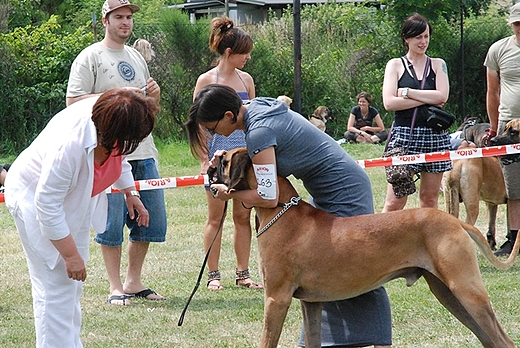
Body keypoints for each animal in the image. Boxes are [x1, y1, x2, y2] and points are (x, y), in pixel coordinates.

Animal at [213, 147, 516, 348]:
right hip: (449, 294)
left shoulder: (276, 299)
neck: (280, 210)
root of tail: (453, 220)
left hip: (467, 291)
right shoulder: (310, 302)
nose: (209, 167)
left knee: (503, 339)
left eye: (224, 160)